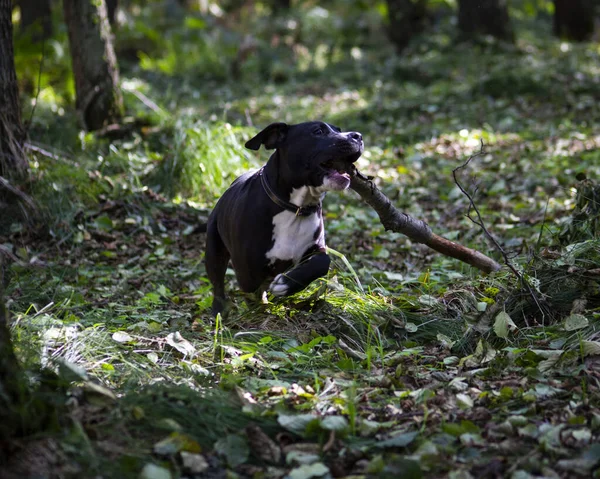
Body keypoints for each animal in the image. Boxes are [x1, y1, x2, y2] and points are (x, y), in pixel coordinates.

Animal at [204, 120, 364, 316]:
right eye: (318, 131)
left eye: (339, 130)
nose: (357, 136)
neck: (295, 208)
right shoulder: (247, 269)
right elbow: (253, 297)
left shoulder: (314, 248)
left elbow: (323, 262)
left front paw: (287, 284)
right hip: (214, 249)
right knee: (217, 283)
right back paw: (219, 310)